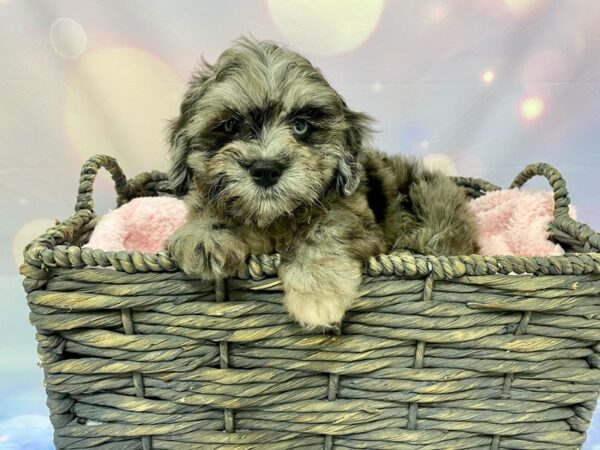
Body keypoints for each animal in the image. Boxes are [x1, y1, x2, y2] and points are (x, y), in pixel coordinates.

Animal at [166, 37, 476, 326]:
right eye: (230, 126)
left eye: (301, 126)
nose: (266, 169)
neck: (275, 218)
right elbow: (208, 208)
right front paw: (206, 235)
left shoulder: (356, 219)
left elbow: (325, 230)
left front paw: (317, 292)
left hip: (431, 203)